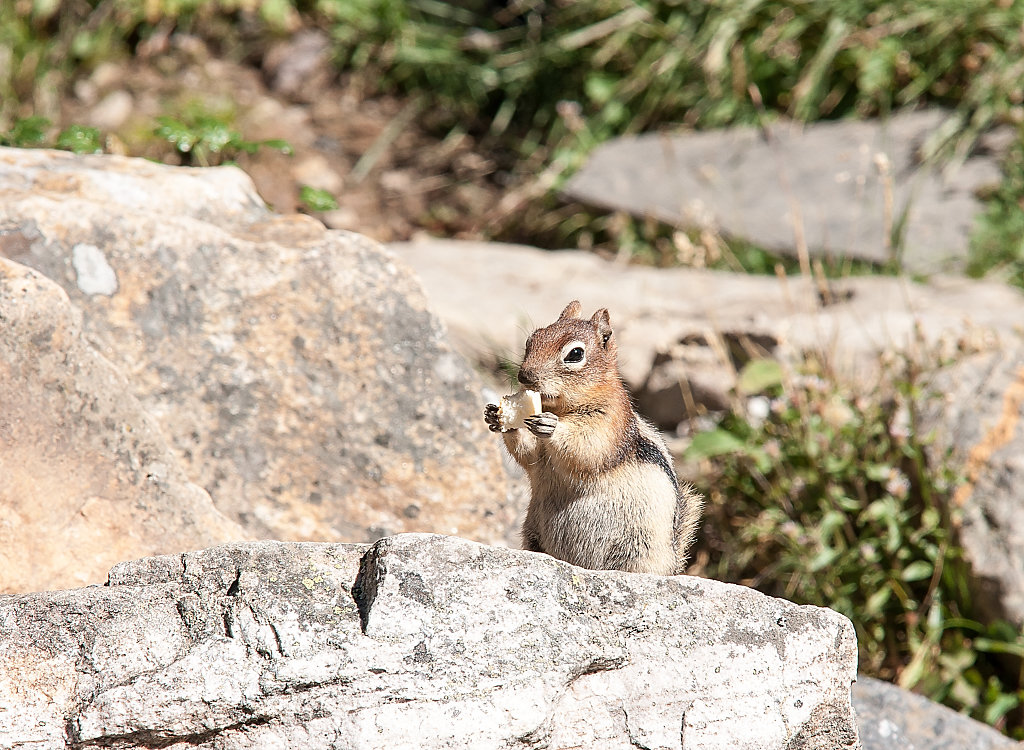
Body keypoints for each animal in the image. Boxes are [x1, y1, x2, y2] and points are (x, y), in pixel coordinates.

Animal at [483, 299, 700, 573]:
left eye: (575, 354)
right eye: (531, 340)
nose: (524, 376)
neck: (562, 408)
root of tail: (672, 565)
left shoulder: (611, 423)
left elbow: (589, 446)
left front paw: (551, 426)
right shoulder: (537, 455)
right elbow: (528, 454)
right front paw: (498, 416)